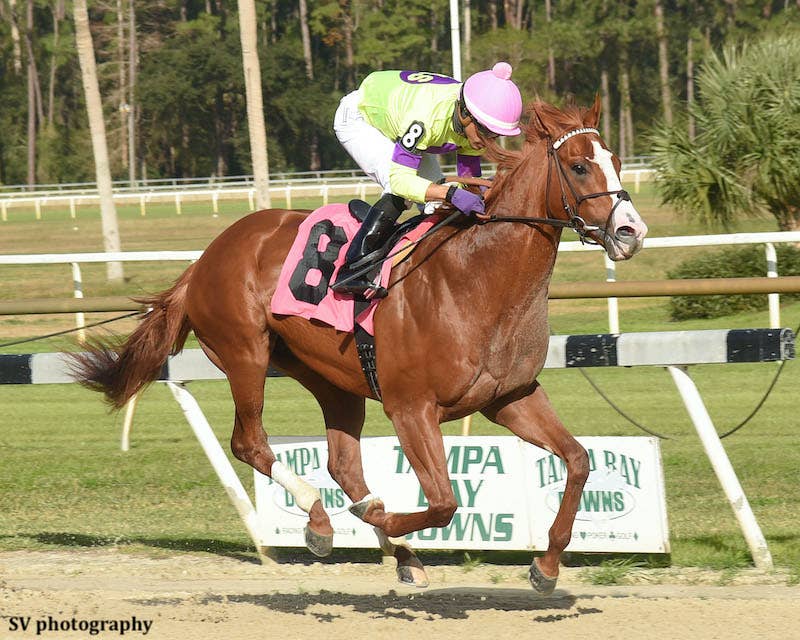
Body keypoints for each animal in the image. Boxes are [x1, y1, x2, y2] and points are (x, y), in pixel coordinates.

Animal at [71, 96, 648, 595]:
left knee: (343, 465)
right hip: (245, 354)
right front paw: (381, 517)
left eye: (618, 161)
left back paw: (398, 553)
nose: (631, 231)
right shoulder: (411, 408)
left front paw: (546, 565)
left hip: (330, 378)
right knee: (249, 442)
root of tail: (203, 260)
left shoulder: (510, 397)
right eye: (579, 166)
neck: (477, 278)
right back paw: (323, 520)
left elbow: (578, 460)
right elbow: (443, 503)